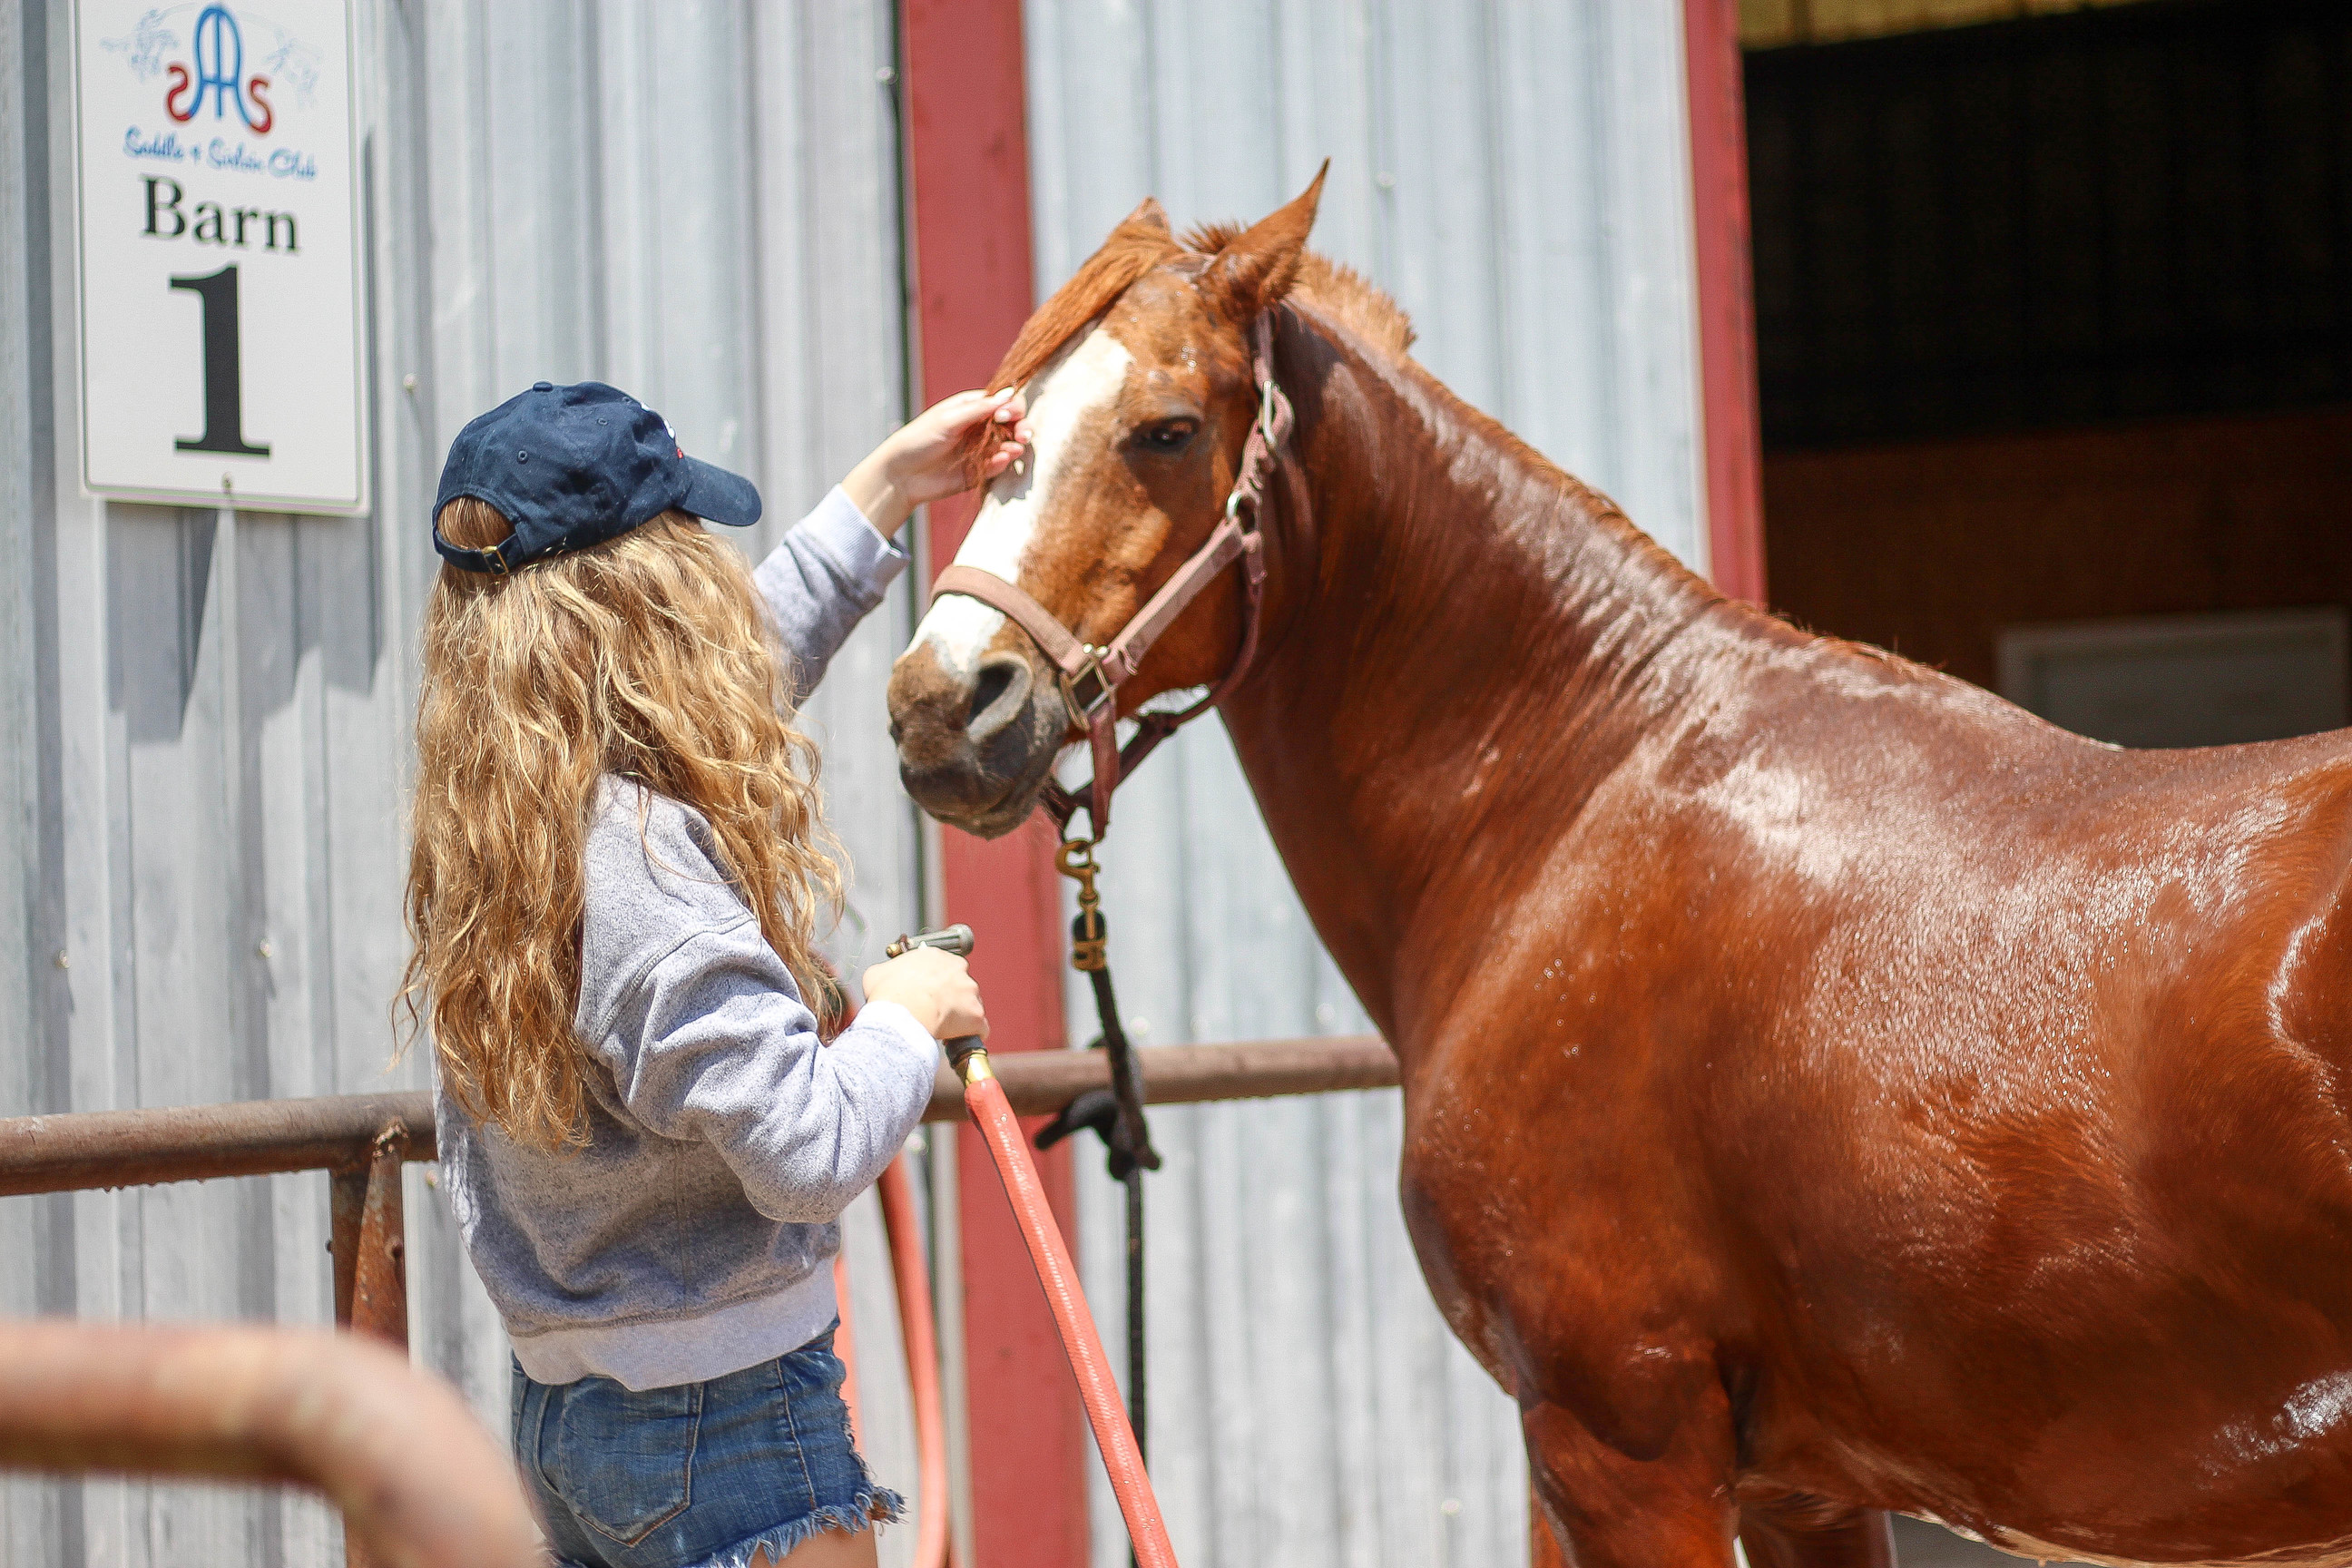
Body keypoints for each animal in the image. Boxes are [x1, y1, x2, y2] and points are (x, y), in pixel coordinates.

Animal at [879, 177, 2352, 1561]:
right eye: (997, 432)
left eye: (1170, 429)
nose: (941, 706)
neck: (1586, 790)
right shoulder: (1809, 1488)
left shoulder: (1618, 1443)